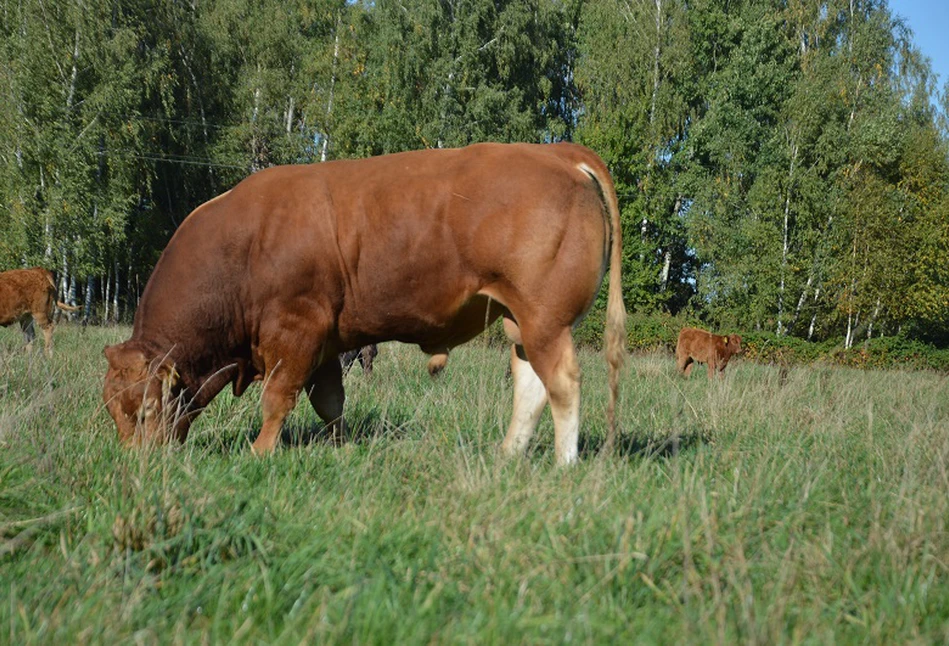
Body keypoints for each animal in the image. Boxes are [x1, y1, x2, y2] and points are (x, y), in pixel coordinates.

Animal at [103, 143, 624, 466]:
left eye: (145, 411)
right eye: (112, 410)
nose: (137, 466)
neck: (242, 249)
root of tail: (554, 150)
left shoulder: (295, 330)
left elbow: (277, 398)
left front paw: (260, 452)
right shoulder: (328, 343)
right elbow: (330, 402)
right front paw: (339, 446)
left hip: (546, 319)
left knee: (563, 384)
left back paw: (564, 463)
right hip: (521, 322)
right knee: (531, 386)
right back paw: (507, 454)